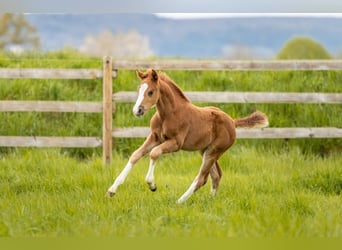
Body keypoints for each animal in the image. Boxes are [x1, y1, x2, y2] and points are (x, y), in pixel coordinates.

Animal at [105, 68, 268, 203]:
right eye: (139, 90)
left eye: (150, 92)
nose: (137, 110)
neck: (169, 114)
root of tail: (232, 122)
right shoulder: (155, 137)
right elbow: (135, 155)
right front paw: (112, 190)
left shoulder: (176, 143)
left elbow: (154, 153)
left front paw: (152, 185)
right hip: (205, 150)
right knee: (216, 175)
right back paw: (210, 200)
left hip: (213, 151)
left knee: (202, 178)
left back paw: (179, 201)